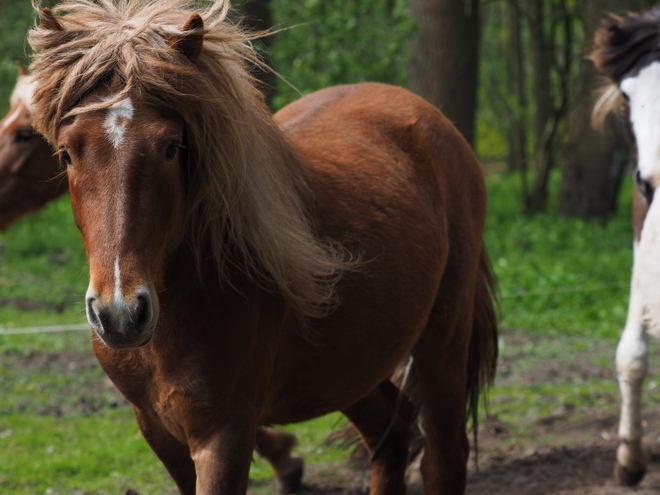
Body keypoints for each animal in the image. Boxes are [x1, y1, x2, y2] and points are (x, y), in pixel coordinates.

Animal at [28, 1, 498, 494]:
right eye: (66, 154)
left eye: (171, 148)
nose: (120, 315)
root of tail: (434, 120)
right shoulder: (159, 431)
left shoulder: (225, 434)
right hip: (348, 365)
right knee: (391, 431)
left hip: (443, 337)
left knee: (443, 457)